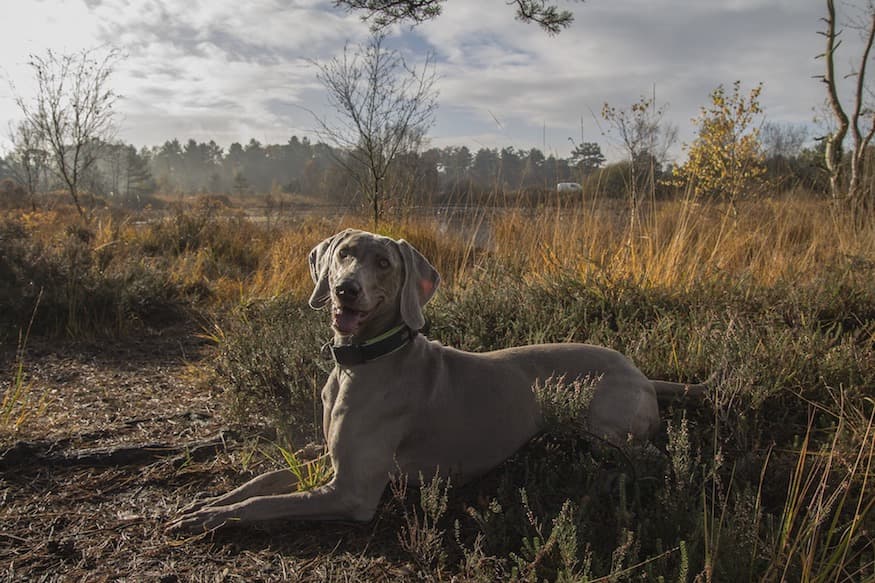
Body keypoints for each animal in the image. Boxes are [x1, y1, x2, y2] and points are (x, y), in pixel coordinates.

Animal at [169, 228, 704, 532]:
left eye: (384, 263)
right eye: (344, 254)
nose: (345, 289)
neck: (359, 362)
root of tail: (641, 372)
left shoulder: (351, 491)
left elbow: (266, 503)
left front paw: (212, 518)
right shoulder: (329, 457)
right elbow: (262, 480)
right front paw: (208, 501)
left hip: (605, 427)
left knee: (656, 459)